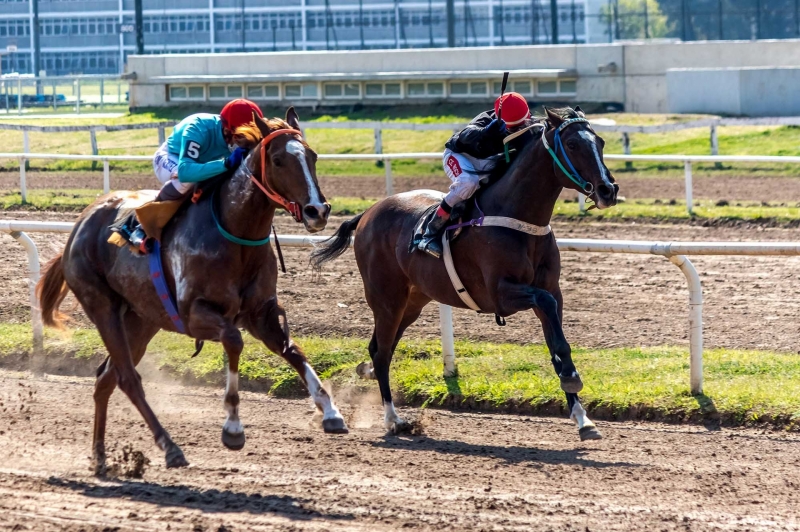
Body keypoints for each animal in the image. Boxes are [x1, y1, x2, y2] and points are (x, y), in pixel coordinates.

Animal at [38, 108, 346, 474]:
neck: (235, 235)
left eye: (312, 156)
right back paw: (170, 447)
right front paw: (232, 427)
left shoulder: (262, 313)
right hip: (103, 309)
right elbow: (234, 341)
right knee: (127, 378)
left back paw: (100, 457)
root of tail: (80, 222)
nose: (318, 211)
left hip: (141, 320)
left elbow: (292, 350)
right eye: (278, 159)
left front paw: (331, 411)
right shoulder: (195, 313)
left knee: (105, 379)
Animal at [312, 107, 620, 440]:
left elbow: (557, 343)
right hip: (386, 298)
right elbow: (546, 308)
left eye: (600, 142)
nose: (608, 190)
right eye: (573, 145)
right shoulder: (501, 295)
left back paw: (370, 378)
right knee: (382, 354)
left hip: (412, 301)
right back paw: (393, 419)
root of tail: (368, 213)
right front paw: (573, 381)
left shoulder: (552, 290)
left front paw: (582, 417)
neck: (519, 219)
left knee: (381, 347)